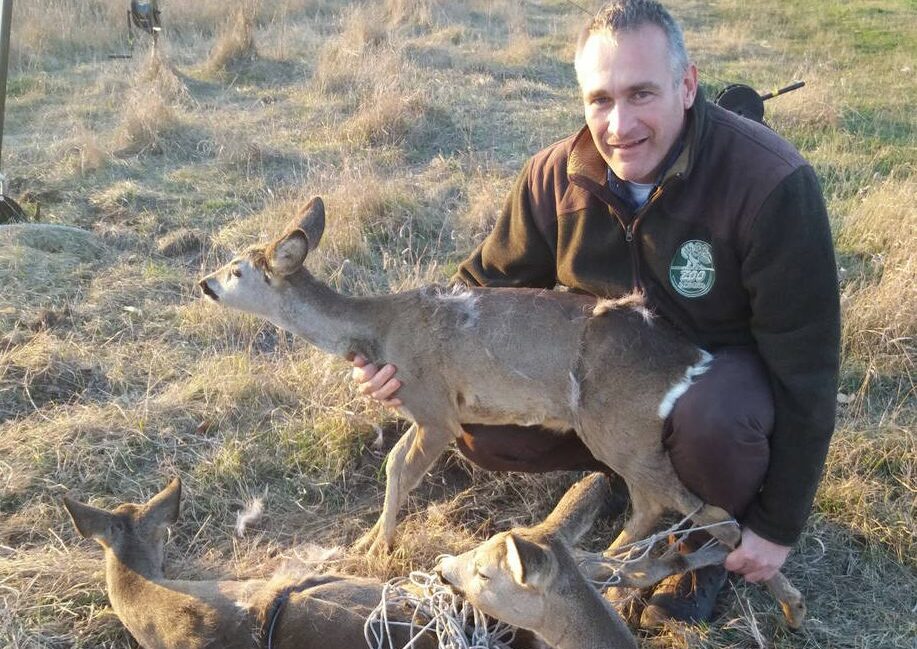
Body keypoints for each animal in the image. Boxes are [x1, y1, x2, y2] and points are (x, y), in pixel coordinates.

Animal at [199, 197, 800, 628]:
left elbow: (399, 468)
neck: (377, 330)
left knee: (711, 513)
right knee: (657, 506)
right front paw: (371, 541)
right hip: (625, 437)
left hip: (621, 427)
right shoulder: (426, 412)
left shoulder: (436, 407)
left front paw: (377, 546)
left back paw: (789, 604)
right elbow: (393, 464)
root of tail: (689, 359)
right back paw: (605, 568)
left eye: (236, 270)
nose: (204, 283)